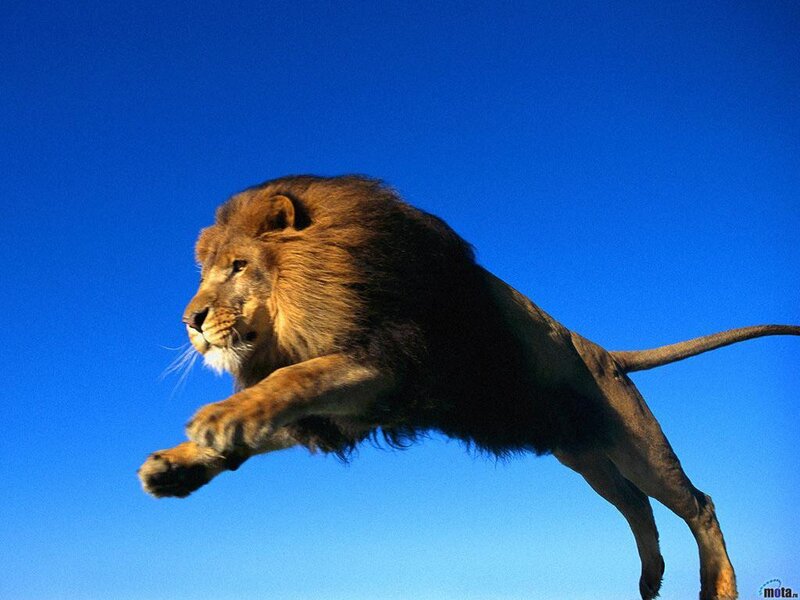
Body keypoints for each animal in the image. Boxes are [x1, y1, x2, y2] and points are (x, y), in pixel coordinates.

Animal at [138, 175, 798, 600]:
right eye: (205, 273)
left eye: (238, 267)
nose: (190, 321)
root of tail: (602, 351)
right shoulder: (351, 408)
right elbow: (276, 409)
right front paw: (178, 464)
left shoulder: (387, 362)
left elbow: (293, 378)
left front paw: (218, 419)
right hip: (584, 457)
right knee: (636, 505)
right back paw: (650, 579)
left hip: (637, 443)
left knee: (698, 503)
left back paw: (718, 588)